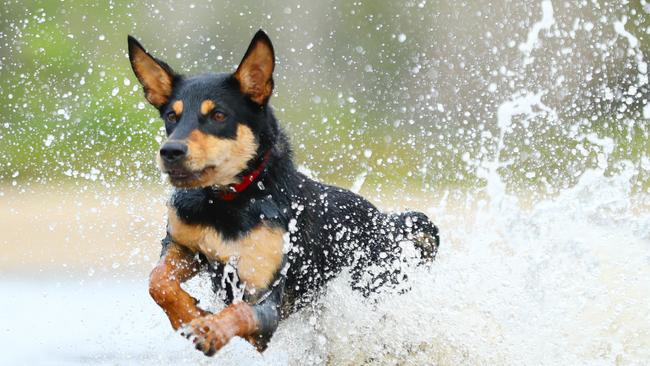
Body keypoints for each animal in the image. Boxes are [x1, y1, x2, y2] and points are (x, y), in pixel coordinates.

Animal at [126, 30, 438, 356]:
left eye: (219, 115)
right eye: (171, 116)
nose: (170, 151)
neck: (231, 201)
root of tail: (384, 220)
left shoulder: (265, 295)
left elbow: (239, 311)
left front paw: (210, 329)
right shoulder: (184, 244)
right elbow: (157, 280)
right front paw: (189, 314)